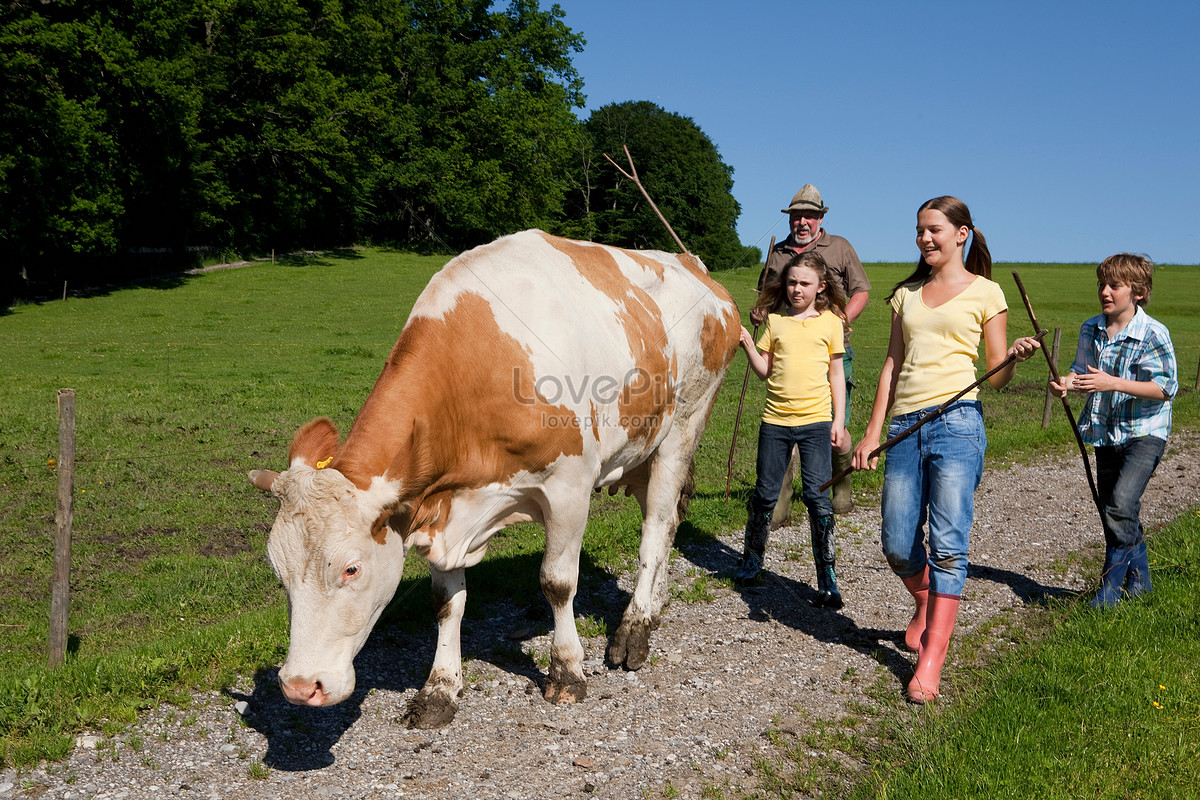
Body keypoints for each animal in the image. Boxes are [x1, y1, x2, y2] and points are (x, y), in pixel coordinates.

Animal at [248, 227, 739, 729]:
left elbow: (557, 583)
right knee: (670, 522)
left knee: (655, 532)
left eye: (352, 568)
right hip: (643, 449)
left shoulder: (569, 485)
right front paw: (440, 689)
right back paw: (655, 609)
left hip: (683, 428)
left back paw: (634, 629)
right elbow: (446, 602)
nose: (300, 686)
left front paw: (567, 671)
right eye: (277, 571)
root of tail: (694, 265)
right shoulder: (439, 505)